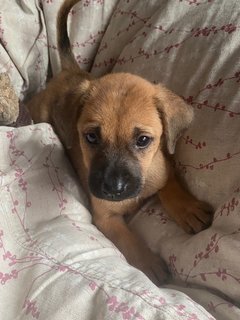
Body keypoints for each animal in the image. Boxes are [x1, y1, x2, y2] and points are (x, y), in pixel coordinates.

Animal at [27, 0, 213, 284]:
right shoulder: (106, 217)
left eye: (143, 140)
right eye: (91, 137)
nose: (113, 189)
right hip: (40, 111)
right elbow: (128, 240)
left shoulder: (162, 166)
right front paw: (148, 264)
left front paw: (187, 208)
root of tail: (70, 73)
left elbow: (169, 184)